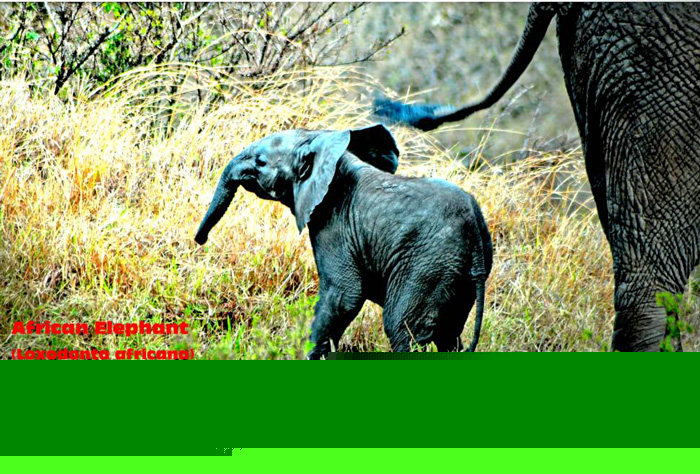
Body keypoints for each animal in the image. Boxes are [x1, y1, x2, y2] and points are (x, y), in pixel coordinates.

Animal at [194, 124, 492, 359]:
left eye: (260, 162)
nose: (200, 240)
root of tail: (474, 227)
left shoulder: (335, 223)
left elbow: (344, 295)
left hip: (428, 264)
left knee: (401, 328)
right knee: (448, 335)